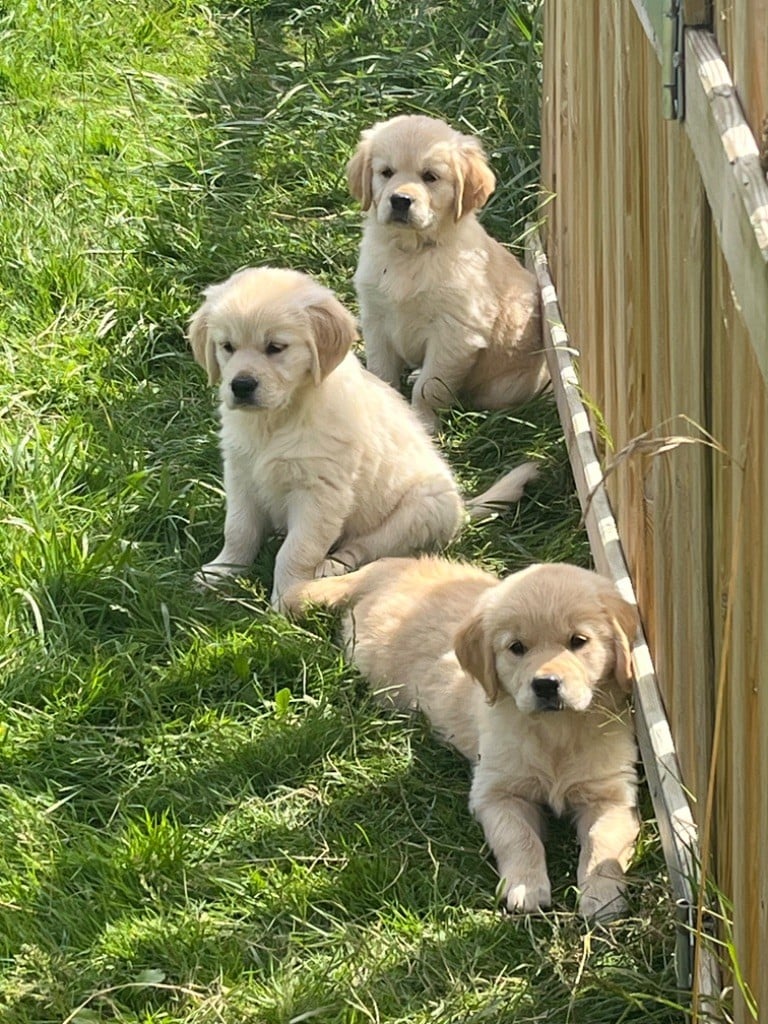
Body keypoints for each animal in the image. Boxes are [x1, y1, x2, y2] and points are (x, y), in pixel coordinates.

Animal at [187, 266, 536, 606]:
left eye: (275, 348)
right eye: (227, 346)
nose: (241, 386)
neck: (276, 419)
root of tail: (462, 509)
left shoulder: (320, 493)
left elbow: (297, 550)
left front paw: (287, 598)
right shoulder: (240, 474)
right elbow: (238, 529)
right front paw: (221, 571)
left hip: (418, 512)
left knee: (365, 548)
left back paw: (330, 566)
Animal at [288, 557, 643, 917]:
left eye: (578, 641)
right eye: (516, 647)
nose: (545, 685)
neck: (556, 731)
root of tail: (389, 566)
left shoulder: (612, 795)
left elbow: (602, 842)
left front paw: (601, 895)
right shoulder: (497, 793)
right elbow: (519, 838)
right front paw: (526, 886)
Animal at [348, 113, 548, 432]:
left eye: (430, 176)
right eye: (386, 172)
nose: (400, 200)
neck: (412, 252)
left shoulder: (454, 333)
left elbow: (430, 386)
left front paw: (423, 422)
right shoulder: (375, 318)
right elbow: (382, 371)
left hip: (503, 387)